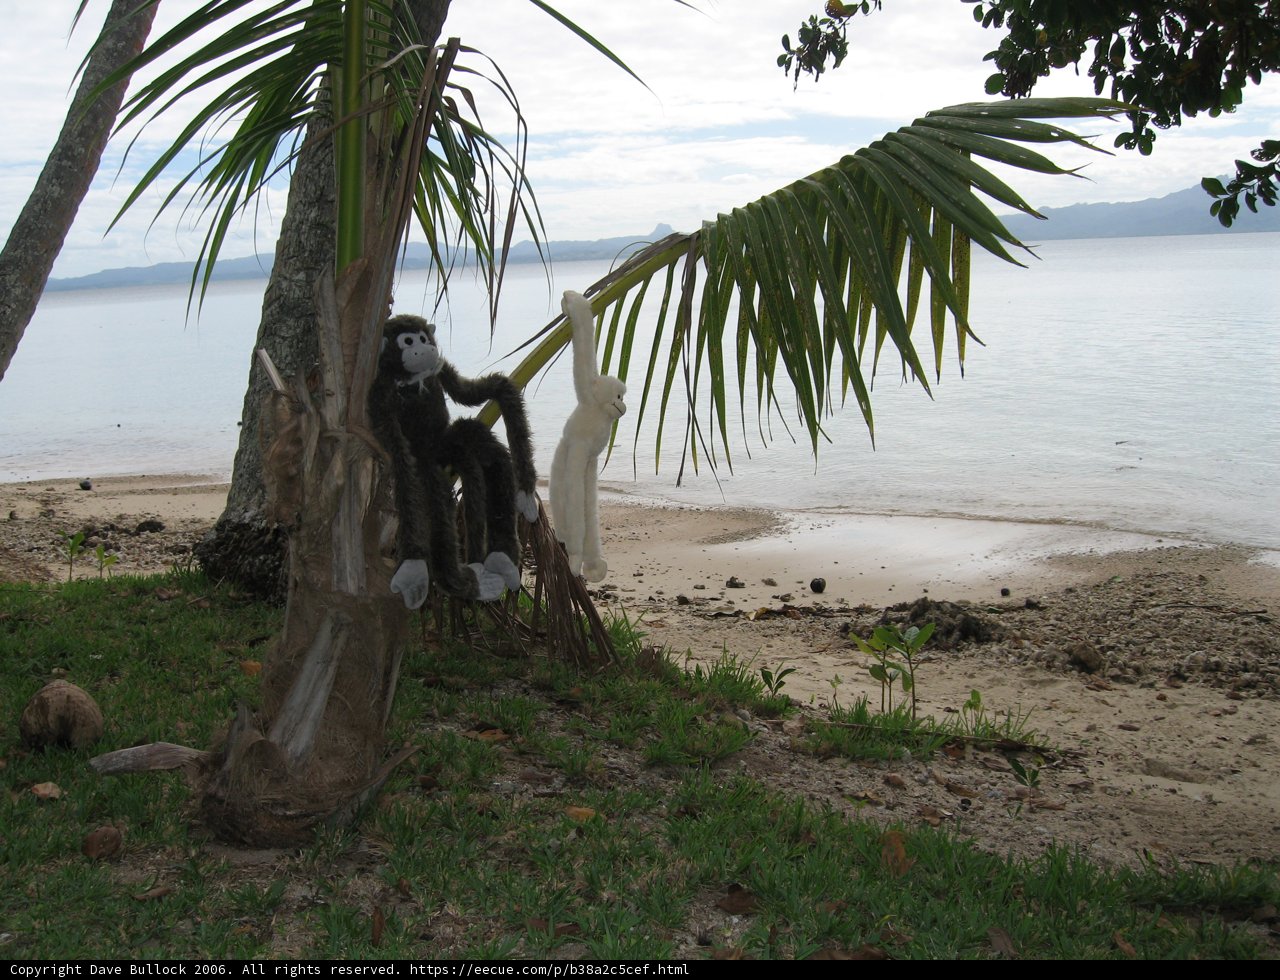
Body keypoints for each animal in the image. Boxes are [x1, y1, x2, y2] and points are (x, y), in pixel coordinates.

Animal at [369, 314, 539, 608]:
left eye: (423, 338)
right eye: (407, 341)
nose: (427, 350)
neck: (413, 381)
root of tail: (439, 453)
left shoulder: (443, 370)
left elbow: (483, 389)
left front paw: (526, 494)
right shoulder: (381, 394)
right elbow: (400, 460)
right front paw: (412, 568)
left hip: (454, 441)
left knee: (491, 453)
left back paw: (501, 559)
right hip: (428, 466)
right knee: (437, 507)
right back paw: (465, 581)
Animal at [549, 290, 627, 582]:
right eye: (618, 395)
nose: (623, 406)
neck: (601, 413)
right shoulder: (587, 395)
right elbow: (583, 356)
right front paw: (572, 303)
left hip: (582, 462)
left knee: (583, 504)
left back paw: (592, 564)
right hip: (574, 456)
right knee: (572, 504)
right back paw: (574, 558)